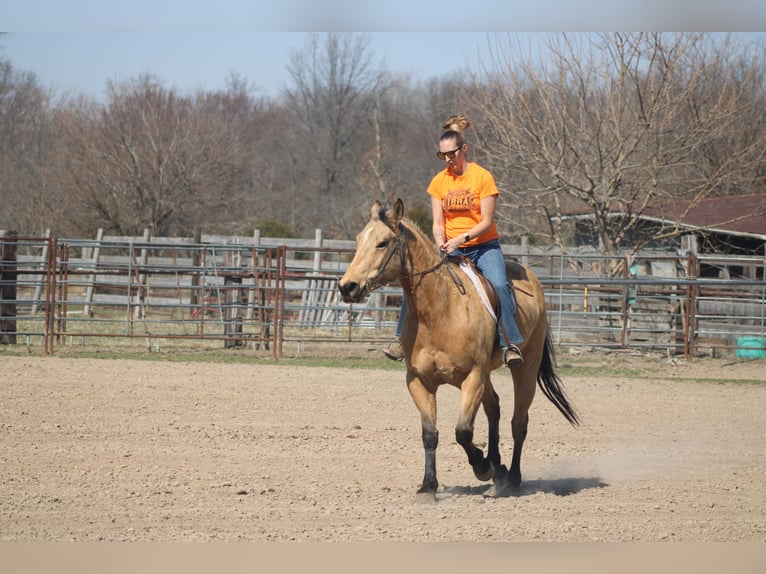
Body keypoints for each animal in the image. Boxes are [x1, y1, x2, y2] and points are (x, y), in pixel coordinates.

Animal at [340, 200, 580, 502]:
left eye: (383, 243)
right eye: (359, 240)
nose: (347, 287)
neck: (438, 310)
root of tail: (534, 283)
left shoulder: (472, 378)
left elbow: (463, 431)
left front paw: (482, 467)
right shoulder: (419, 381)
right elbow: (430, 434)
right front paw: (428, 487)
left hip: (526, 367)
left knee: (518, 422)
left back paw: (512, 478)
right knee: (494, 408)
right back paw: (500, 469)